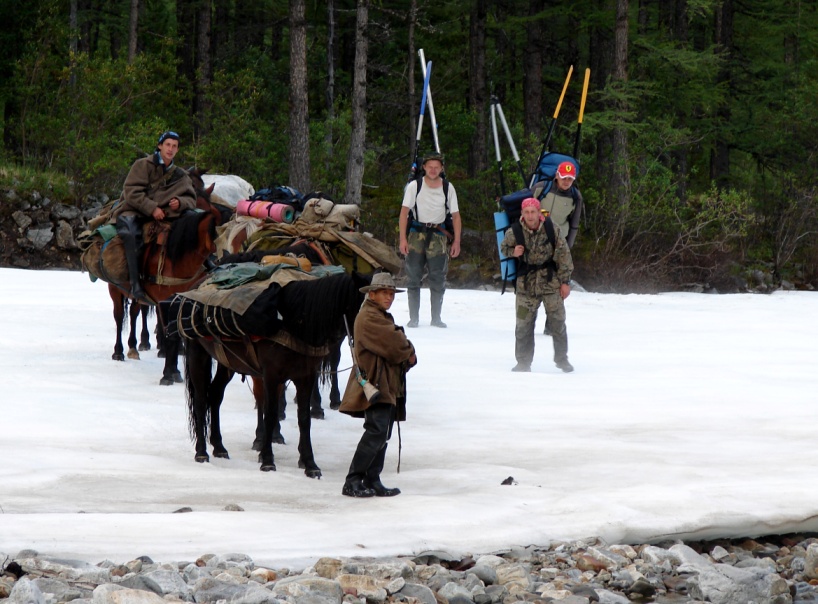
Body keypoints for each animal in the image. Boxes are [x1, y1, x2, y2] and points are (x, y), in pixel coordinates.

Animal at [183, 270, 368, 476]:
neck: (294, 321)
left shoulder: (306, 376)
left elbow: (304, 419)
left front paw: (309, 463)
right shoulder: (271, 375)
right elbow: (270, 413)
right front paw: (267, 460)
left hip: (227, 362)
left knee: (215, 395)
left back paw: (219, 447)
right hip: (197, 354)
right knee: (200, 401)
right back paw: (201, 452)